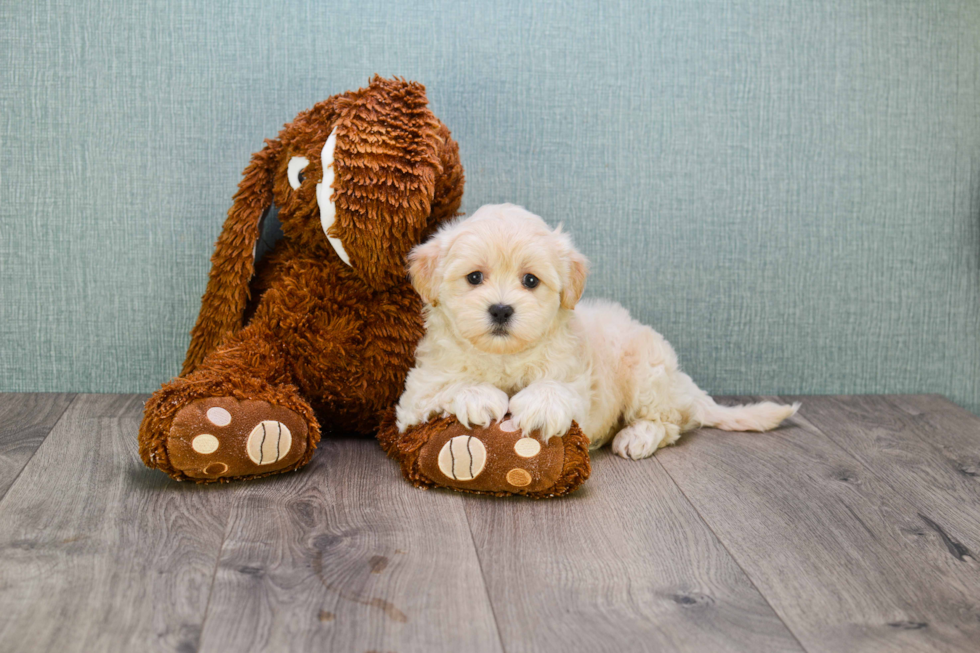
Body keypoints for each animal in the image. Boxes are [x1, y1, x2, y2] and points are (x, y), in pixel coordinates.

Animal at [394, 204, 800, 458]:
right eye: (474, 277)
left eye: (530, 280)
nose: (501, 309)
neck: (504, 358)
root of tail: (684, 387)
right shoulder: (417, 392)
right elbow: (447, 385)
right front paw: (477, 395)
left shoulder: (576, 383)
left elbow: (556, 388)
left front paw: (540, 406)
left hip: (648, 370)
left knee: (668, 423)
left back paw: (636, 437)